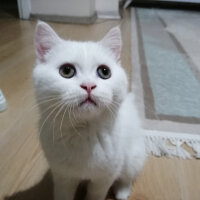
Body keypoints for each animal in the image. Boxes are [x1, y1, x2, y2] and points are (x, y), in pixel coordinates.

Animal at [32, 21, 145, 200]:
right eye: (66, 71)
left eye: (105, 72)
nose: (88, 86)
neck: (84, 133)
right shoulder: (62, 176)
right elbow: (63, 194)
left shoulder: (105, 177)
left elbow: (96, 194)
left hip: (133, 157)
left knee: (128, 177)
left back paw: (122, 192)